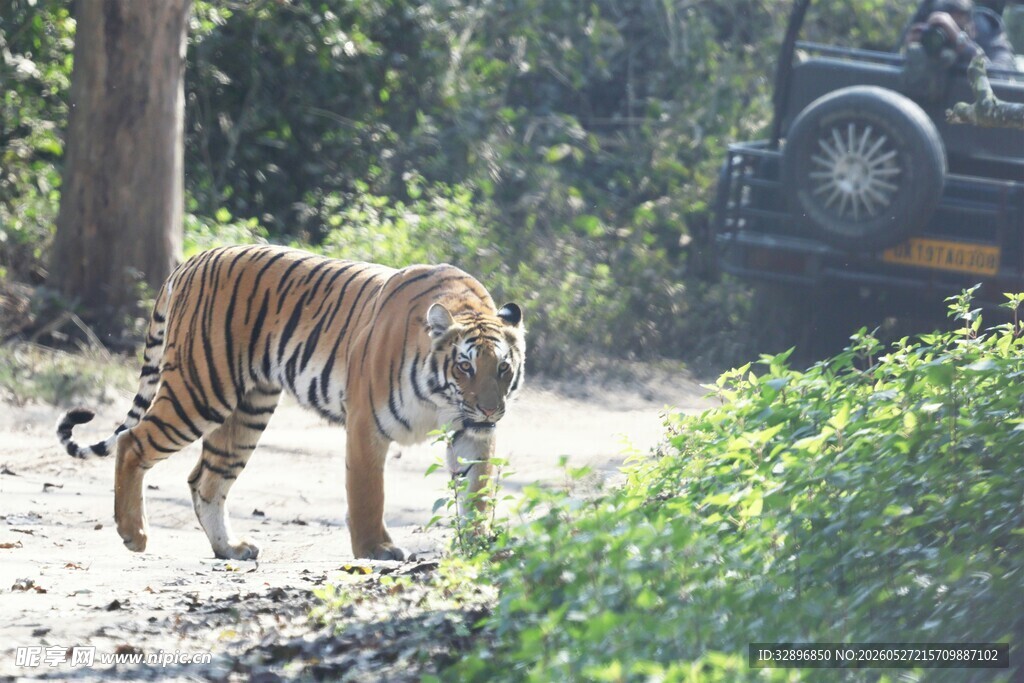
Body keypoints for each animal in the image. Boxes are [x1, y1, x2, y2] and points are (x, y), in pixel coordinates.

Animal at [56, 245, 526, 561]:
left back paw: (231, 548)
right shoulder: (366, 424)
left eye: (503, 368)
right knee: (133, 441)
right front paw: (376, 549)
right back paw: (134, 534)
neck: (441, 400)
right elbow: (368, 493)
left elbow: (477, 493)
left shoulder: (471, 433)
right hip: (200, 389)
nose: (489, 410)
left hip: (247, 410)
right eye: (464, 367)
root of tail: (192, 260)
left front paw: (479, 545)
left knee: (205, 480)